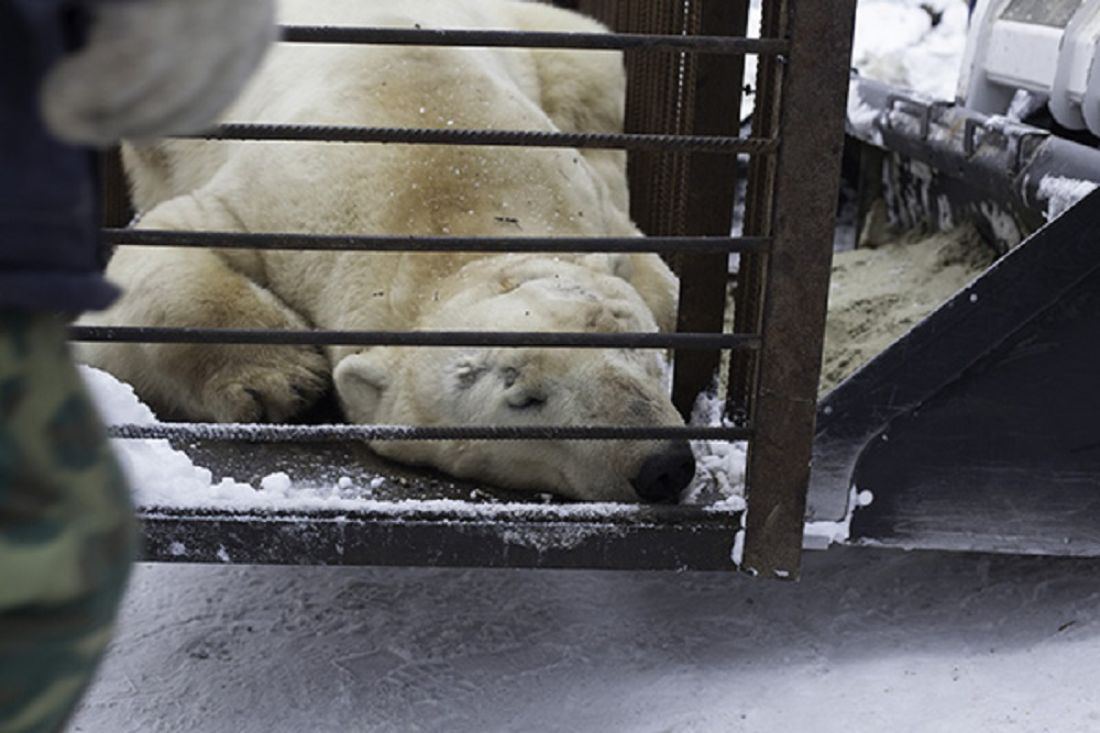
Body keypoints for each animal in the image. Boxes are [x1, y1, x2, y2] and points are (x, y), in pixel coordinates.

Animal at [79, 0, 695, 499]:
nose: (659, 466)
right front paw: (284, 378)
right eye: (521, 401)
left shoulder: (583, 196)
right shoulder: (278, 201)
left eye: (633, 347)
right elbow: (162, 251)